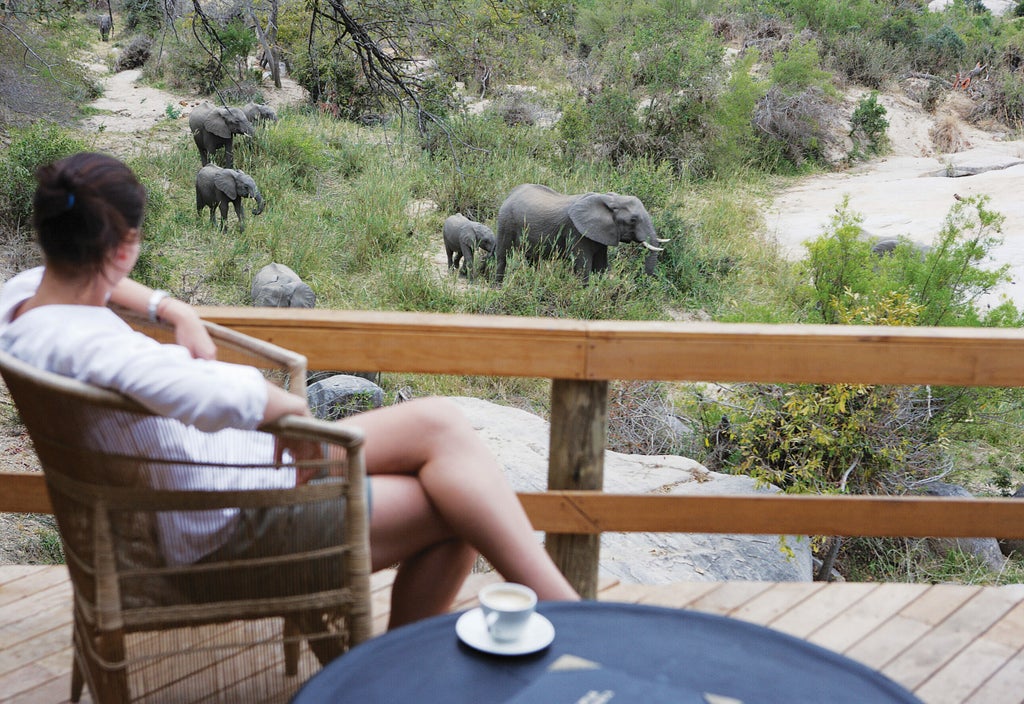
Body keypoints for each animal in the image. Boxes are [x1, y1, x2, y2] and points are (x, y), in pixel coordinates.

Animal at [493, 184, 667, 282]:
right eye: (633, 220)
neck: (608, 198)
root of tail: (511, 193)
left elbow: (601, 266)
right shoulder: (576, 232)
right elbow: (584, 266)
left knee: (533, 259)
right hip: (506, 222)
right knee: (503, 256)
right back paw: (498, 288)